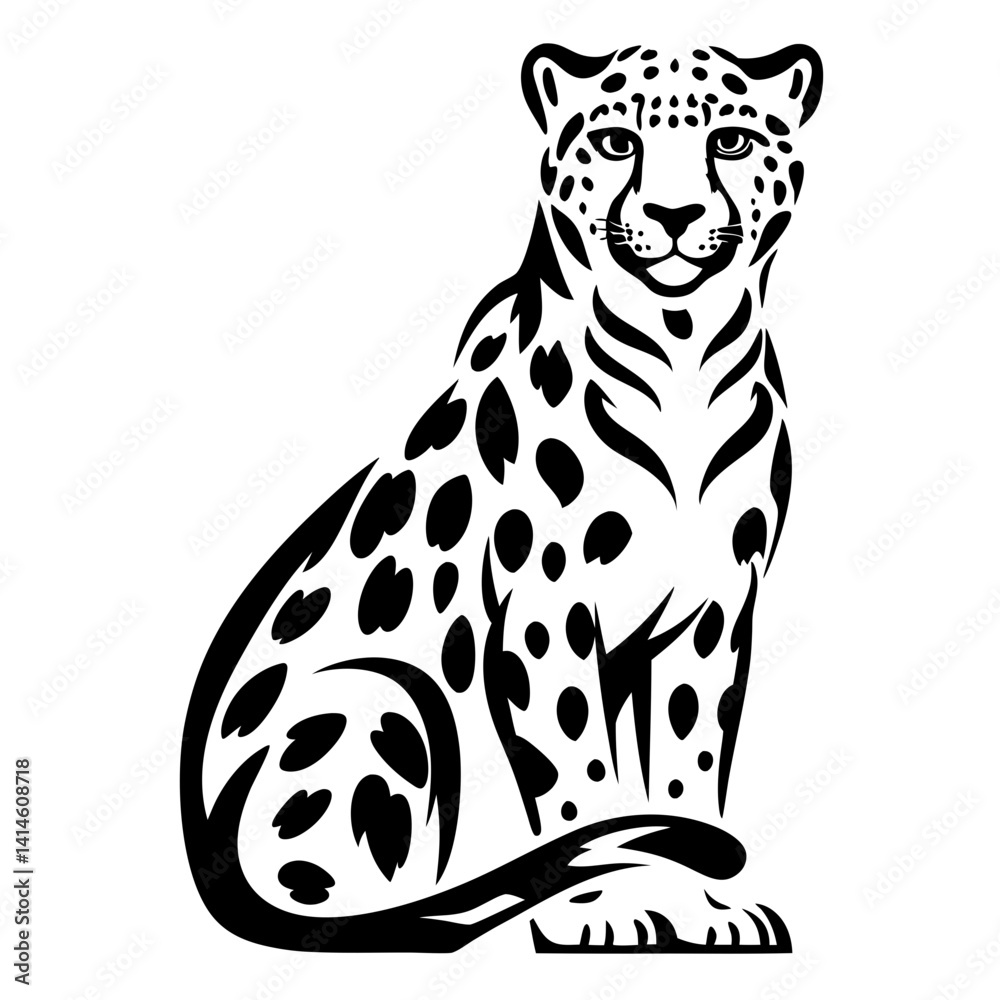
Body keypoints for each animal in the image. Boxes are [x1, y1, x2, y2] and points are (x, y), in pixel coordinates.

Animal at [181, 39, 823, 954]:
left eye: (730, 142)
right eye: (618, 142)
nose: (672, 214)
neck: (683, 358)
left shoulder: (713, 606)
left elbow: (685, 767)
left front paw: (702, 910)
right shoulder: (547, 601)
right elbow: (582, 772)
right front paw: (606, 910)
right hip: (383, 698)